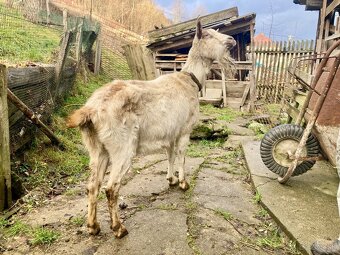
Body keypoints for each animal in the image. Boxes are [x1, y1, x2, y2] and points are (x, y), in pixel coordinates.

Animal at [66, 20, 236, 239]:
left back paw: (93, 226)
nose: (231, 39)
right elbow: (182, 156)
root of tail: (91, 109)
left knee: (92, 186)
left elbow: (170, 155)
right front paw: (183, 183)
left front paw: (171, 179)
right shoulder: (184, 130)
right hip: (122, 146)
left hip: (97, 148)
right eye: (208, 35)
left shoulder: (170, 133)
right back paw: (118, 228)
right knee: (111, 188)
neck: (189, 80)